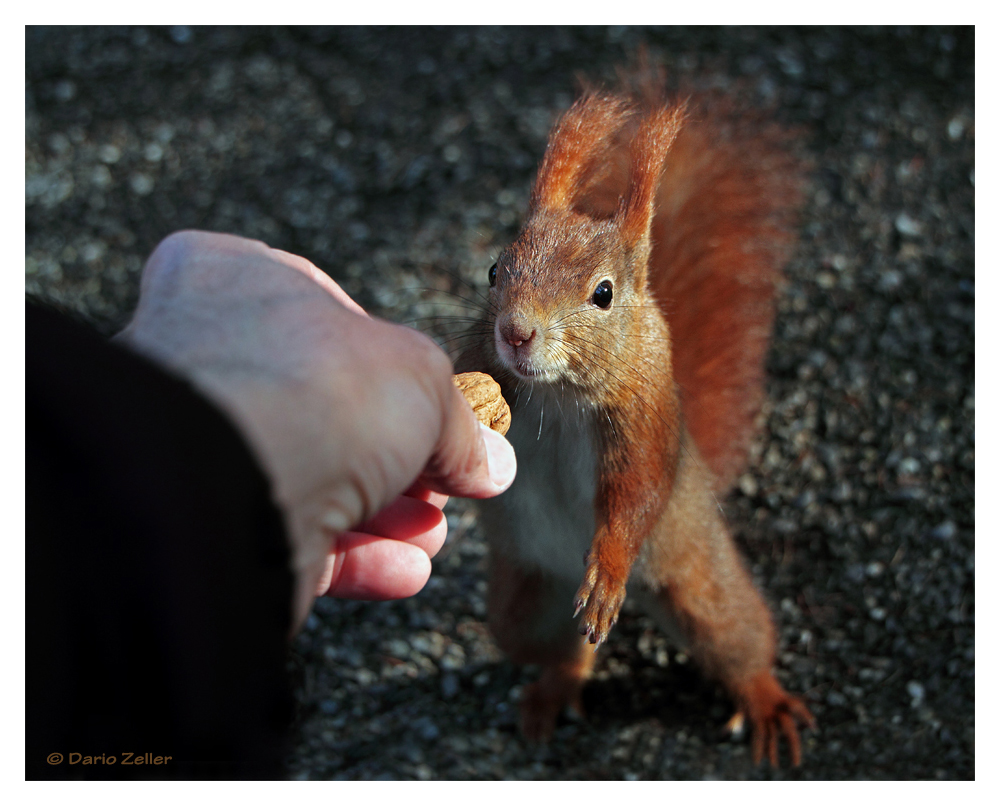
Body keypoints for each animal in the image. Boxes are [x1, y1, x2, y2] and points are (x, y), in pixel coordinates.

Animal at [454, 79, 812, 768]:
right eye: (493, 271)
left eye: (603, 294)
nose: (515, 333)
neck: (557, 395)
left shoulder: (643, 420)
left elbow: (636, 493)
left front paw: (609, 565)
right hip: (524, 604)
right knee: (561, 652)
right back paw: (555, 687)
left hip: (698, 581)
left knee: (738, 637)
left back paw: (763, 699)